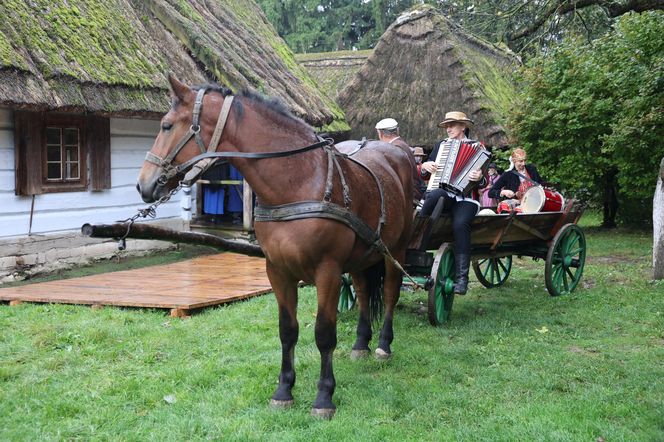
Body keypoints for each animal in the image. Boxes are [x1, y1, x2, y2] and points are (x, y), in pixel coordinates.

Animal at [136, 75, 416, 418]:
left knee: (389, 294)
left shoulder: (328, 272)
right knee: (364, 293)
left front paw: (324, 396)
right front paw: (284, 390)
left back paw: (383, 345)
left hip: (395, 250)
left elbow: (324, 333)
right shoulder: (278, 271)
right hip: (363, 257)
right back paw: (361, 343)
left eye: (166, 125)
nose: (143, 184)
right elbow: (287, 330)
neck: (298, 182)